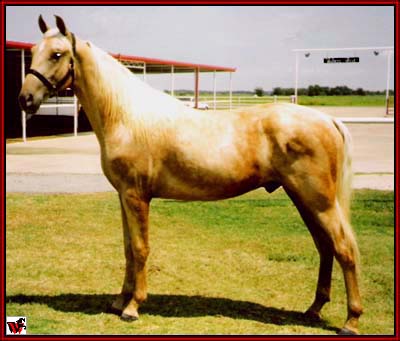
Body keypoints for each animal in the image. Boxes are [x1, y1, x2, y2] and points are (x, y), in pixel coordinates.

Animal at [18, 15, 362, 332]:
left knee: (344, 248)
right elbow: (128, 248)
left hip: (318, 201)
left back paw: (351, 320)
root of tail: (327, 119)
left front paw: (132, 307)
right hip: (303, 199)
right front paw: (118, 301)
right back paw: (313, 309)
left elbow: (140, 248)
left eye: (58, 53)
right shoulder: (124, 196)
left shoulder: (136, 196)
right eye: (33, 51)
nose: (25, 99)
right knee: (325, 247)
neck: (126, 116)